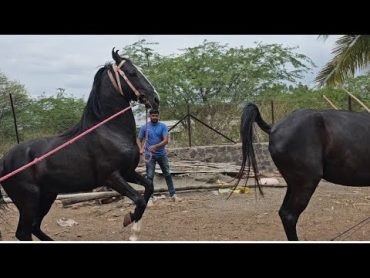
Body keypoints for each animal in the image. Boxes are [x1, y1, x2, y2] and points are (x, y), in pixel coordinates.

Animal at [0, 48, 159, 240]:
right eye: (132, 72)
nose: (155, 99)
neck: (110, 131)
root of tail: (4, 160)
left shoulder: (128, 172)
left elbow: (149, 187)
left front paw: (132, 223)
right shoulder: (113, 178)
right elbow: (140, 199)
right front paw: (130, 224)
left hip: (47, 196)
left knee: (33, 227)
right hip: (28, 201)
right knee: (24, 232)